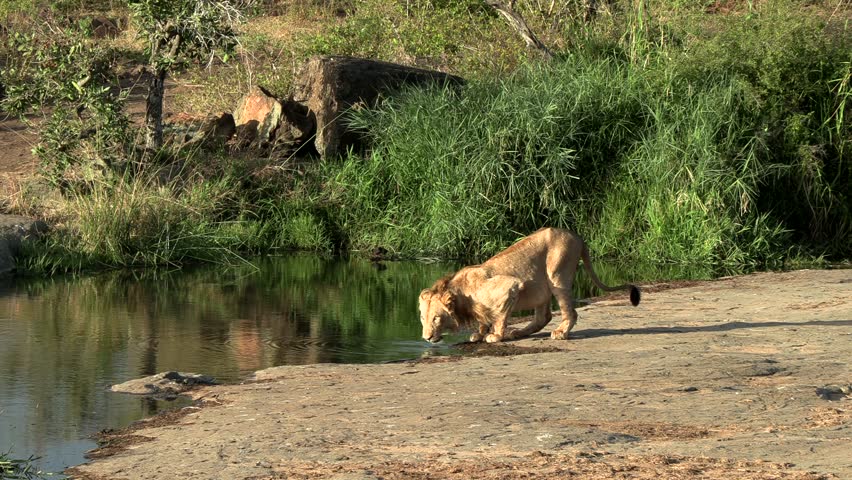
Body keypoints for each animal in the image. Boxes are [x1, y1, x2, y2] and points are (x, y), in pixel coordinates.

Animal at [418, 227, 640, 343]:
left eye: (436, 318)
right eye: (423, 317)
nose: (426, 338)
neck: (460, 293)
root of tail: (577, 236)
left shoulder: (510, 286)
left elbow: (499, 316)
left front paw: (495, 336)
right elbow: (485, 318)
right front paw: (479, 333)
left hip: (557, 275)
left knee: (570, 312)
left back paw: (560, 333)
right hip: (542, 288)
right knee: (543, 316)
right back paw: (519, 332)